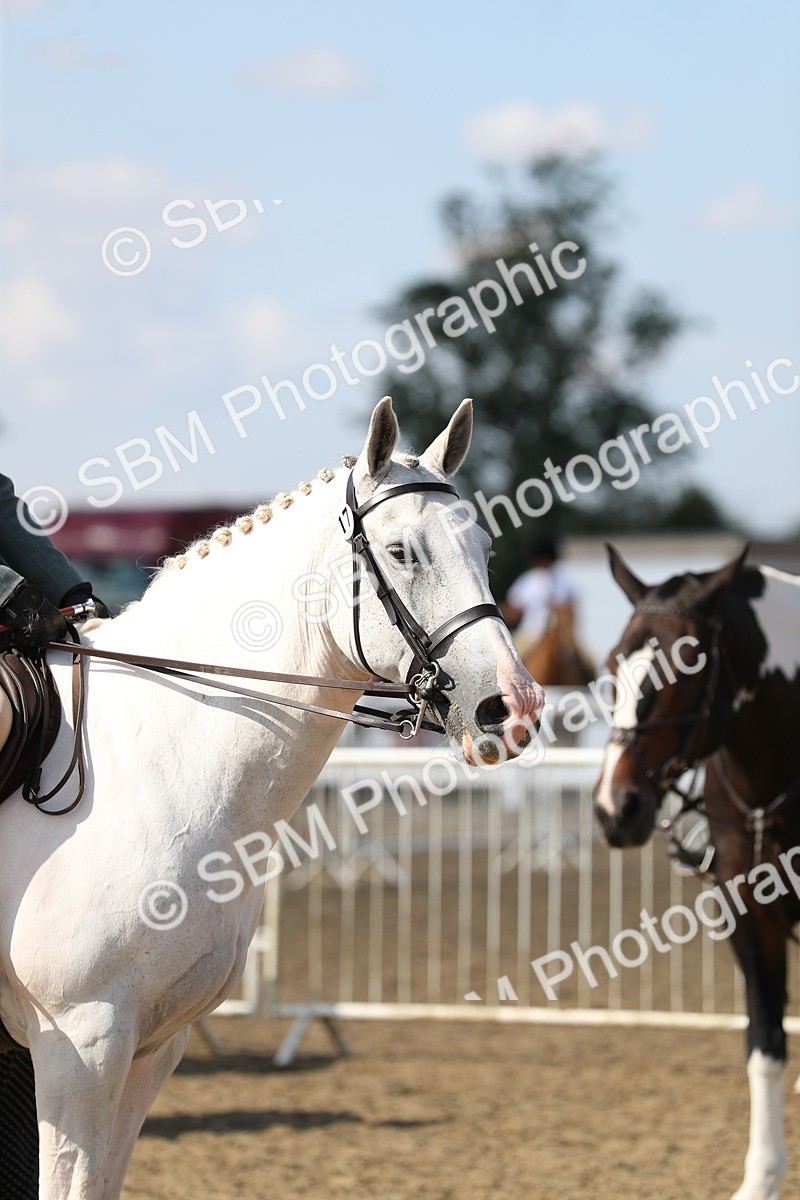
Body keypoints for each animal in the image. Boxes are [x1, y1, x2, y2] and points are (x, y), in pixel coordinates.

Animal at [0, 396, 544, 1198]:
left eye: (480, 546)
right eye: (404, 552)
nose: (511, 707)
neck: (150, 765)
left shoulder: (152, 1046)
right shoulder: (80, 1041)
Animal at [594, 543, 800, 1200]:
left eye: (688, 664)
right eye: (612, 665)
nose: (616, 808)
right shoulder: (750, 914)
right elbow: (765, 1043)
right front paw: (761, 1177)